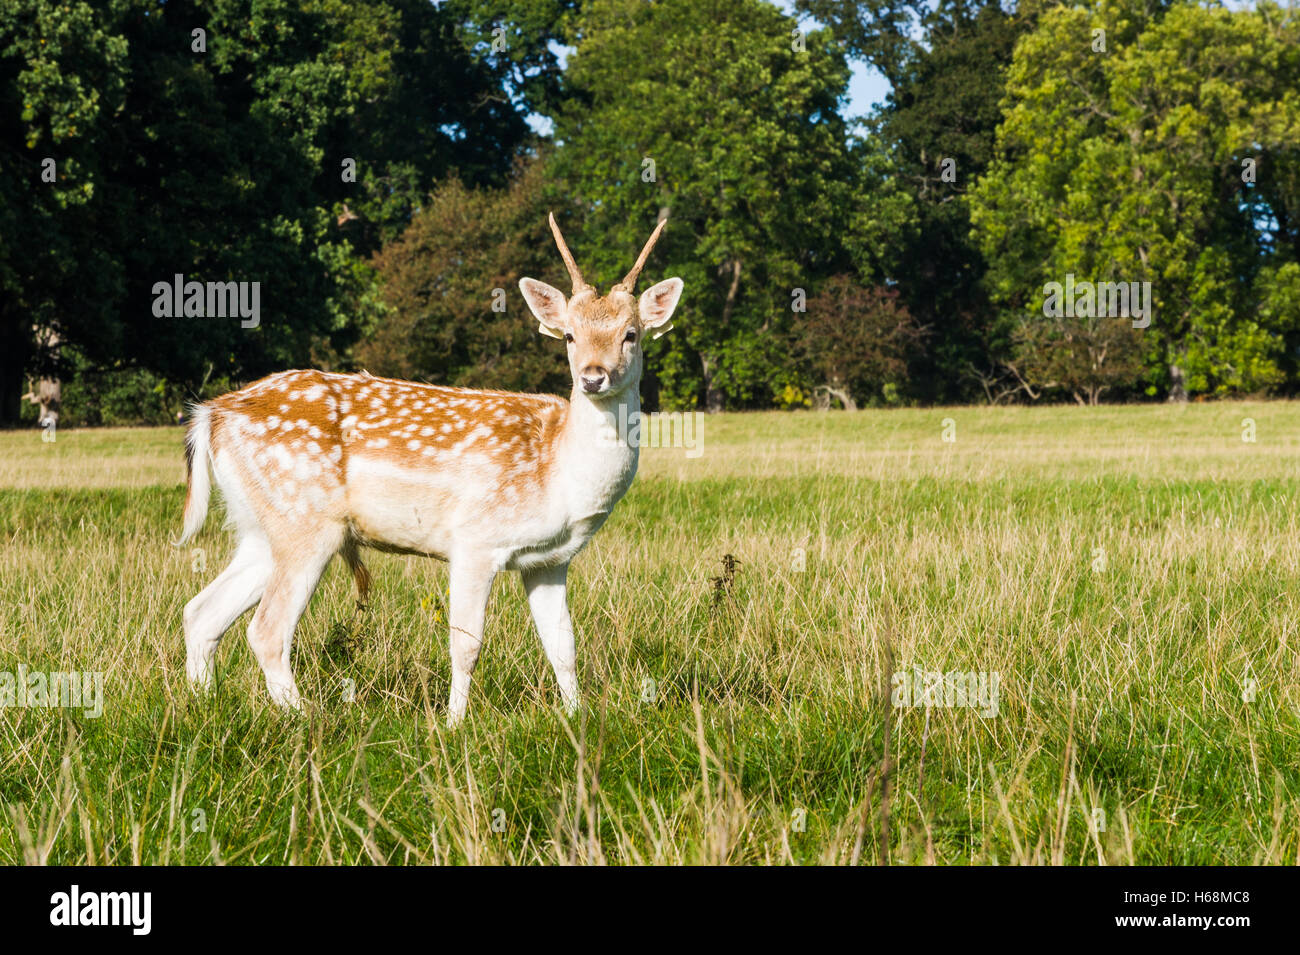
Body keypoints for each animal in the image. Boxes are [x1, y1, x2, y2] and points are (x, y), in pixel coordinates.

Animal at [178, 214, 686, 722]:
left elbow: (563, 646)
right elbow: (466, 644)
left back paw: (203, 706)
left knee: (201, 612)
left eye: (631, 334)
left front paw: (576, 718)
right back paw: (307, 719)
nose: (593, 377)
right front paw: (453, 724)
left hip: (262, 527)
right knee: (266, 629)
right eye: (569, 336)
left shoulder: (549, 560)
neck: (558, 470)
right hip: (306, 522)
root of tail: (211, 416)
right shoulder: (475, 540)